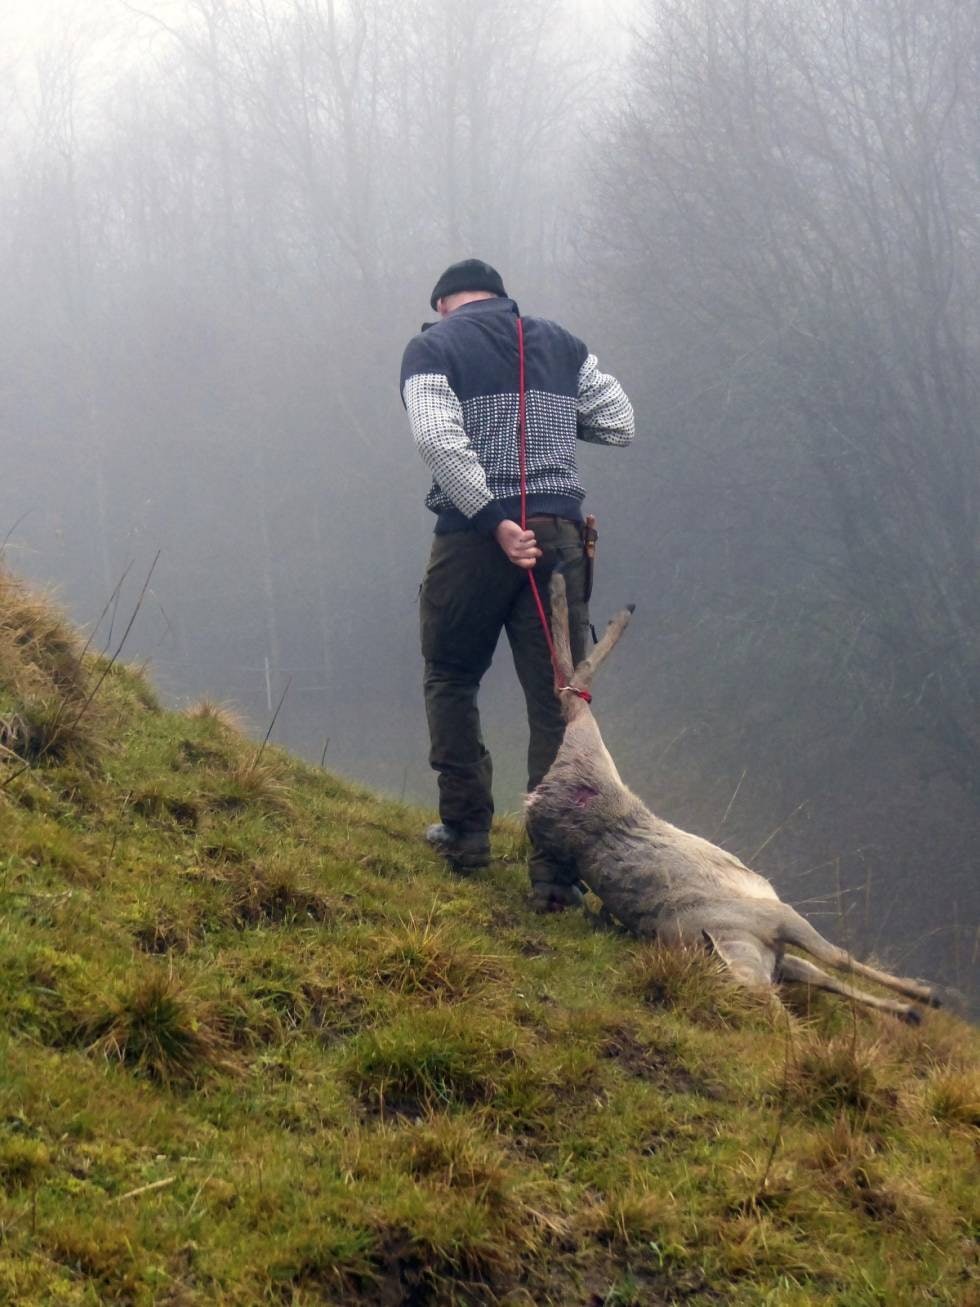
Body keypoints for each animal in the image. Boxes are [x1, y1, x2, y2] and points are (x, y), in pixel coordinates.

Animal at [525, 577, 946, 1024]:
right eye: (738, 999)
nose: (778, 1022)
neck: (743, 940)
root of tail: (538, 796)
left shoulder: (776, 919)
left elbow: (835, 963)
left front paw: (920, 1000)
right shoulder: (775, 937)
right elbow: (829, 969)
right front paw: (914, 1007)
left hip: (592, 755)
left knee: (575, 692)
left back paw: (600, 603)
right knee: (572, 690)